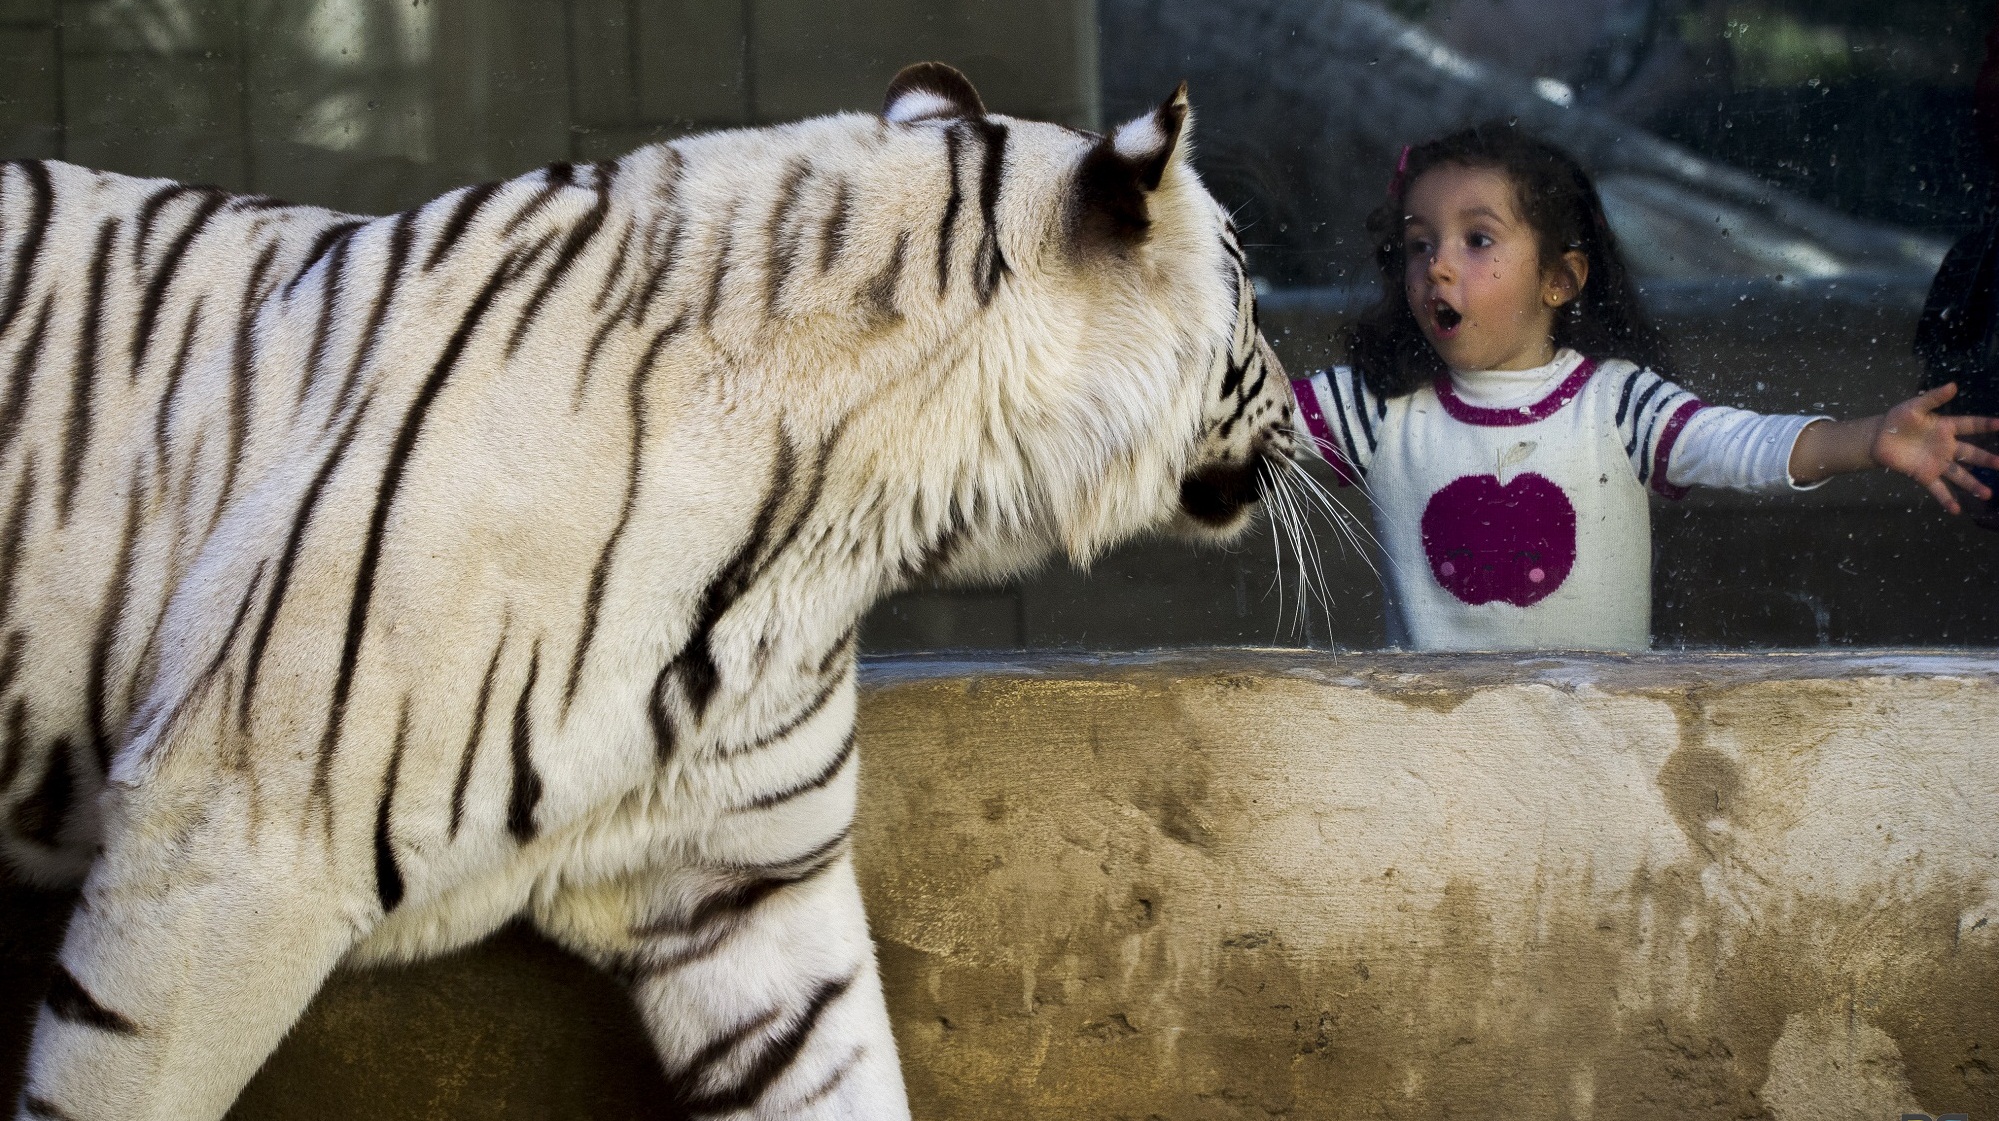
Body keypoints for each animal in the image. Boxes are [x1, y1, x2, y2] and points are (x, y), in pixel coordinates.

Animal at [0, 63, 1295, 1119]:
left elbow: (838, 1073)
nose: (1302, 408)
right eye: (1250, 293)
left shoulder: (744, 886)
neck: (847, 525)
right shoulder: (232, 841)